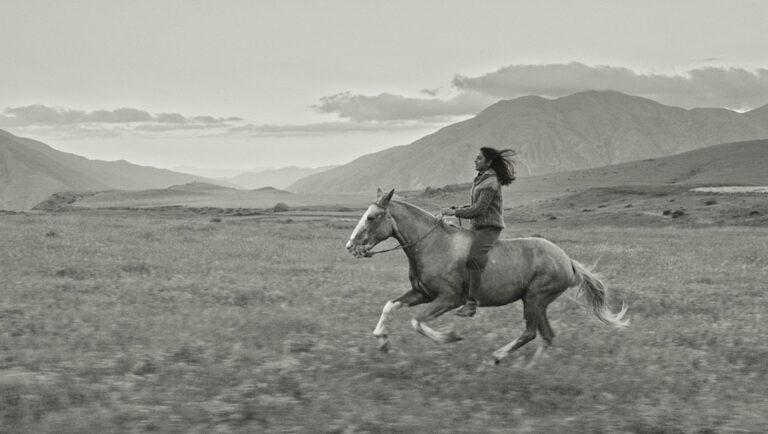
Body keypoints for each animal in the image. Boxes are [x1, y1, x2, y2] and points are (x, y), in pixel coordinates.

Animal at [345, 188, 628, 366]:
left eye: (372, 217)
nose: (350, 247)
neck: (433, 245)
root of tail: (567, 261)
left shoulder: (450, 299)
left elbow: (417, 322)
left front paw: (450, 337)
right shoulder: (422, 293)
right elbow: (390, 305)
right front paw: (382, 341)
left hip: (535, 299)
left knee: (531, 332)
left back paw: (497, 357)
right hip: (537, 302)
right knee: (546, 335)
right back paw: (529, 369)